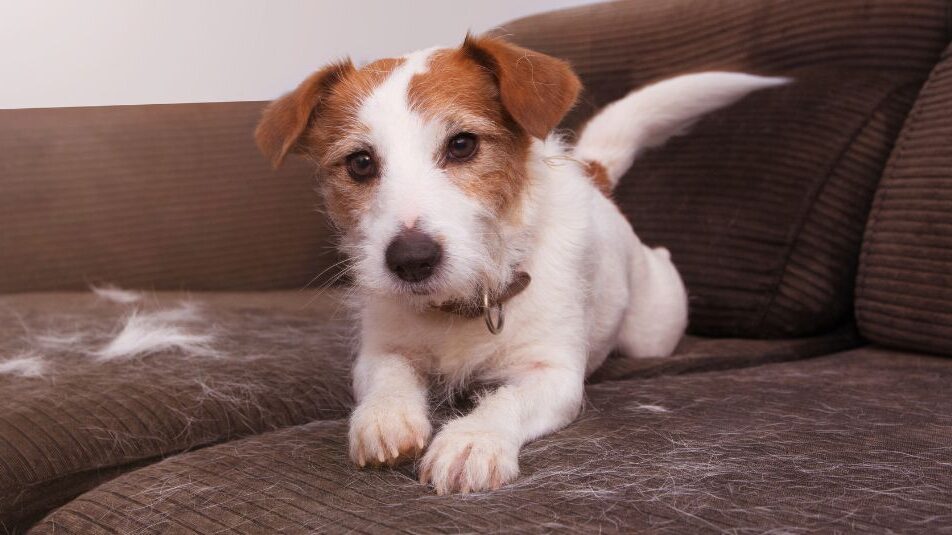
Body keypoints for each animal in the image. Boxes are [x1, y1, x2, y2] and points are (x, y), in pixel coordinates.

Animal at [256, 34, 784, 494]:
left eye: (463, 144)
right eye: (361, 163)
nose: (411, 260)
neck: (464, 303)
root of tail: (592, 174)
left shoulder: (554, 375)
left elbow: (507, 400)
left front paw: (472, 440)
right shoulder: (382, 349)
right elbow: (388, 377)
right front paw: (385, 416)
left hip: (652, 331)